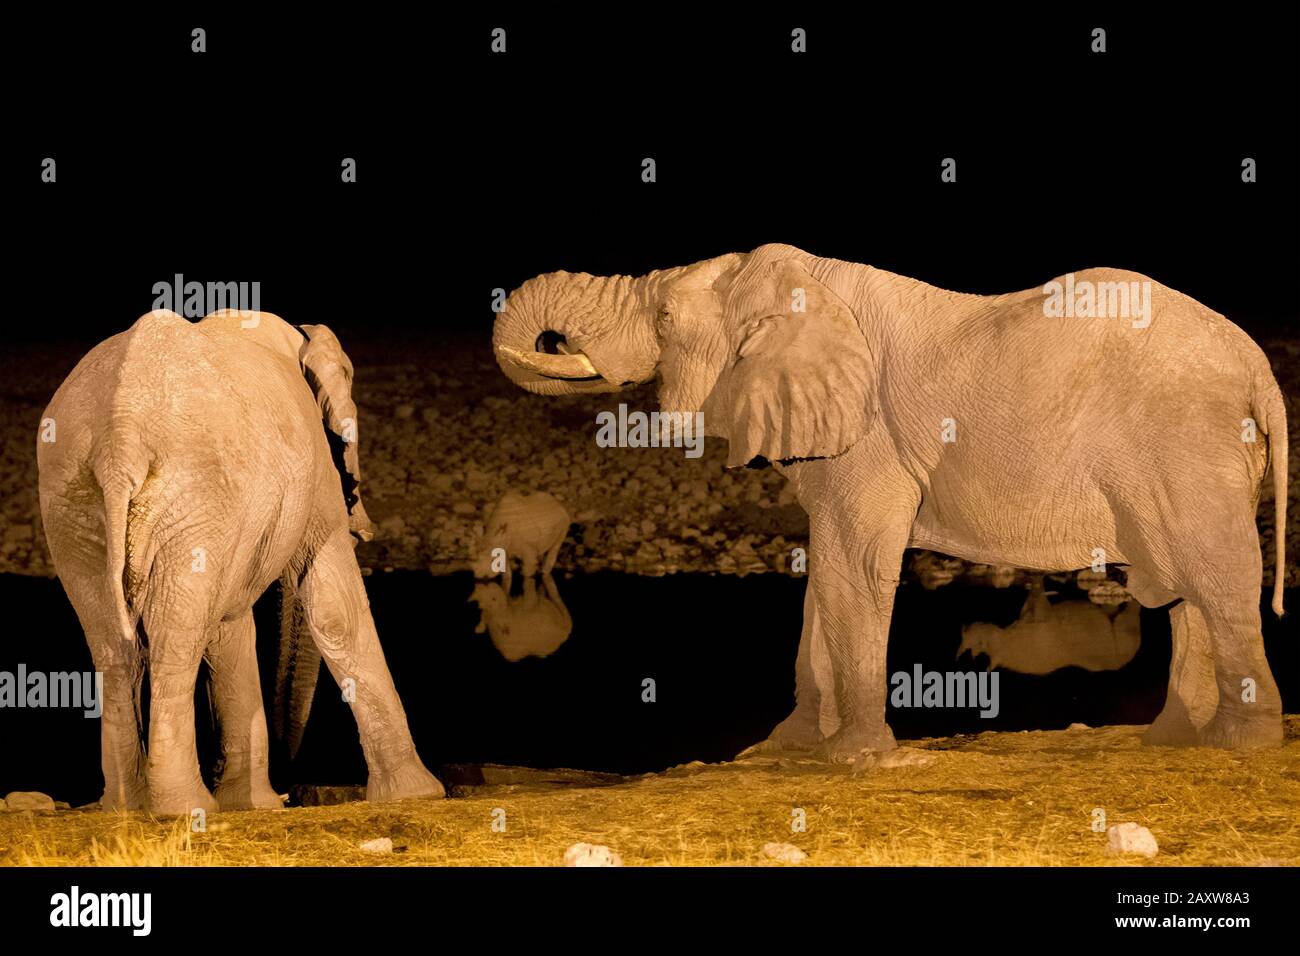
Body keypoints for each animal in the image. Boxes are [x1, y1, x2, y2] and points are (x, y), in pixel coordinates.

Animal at [37, 308, 444, 814]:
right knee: (174, 636)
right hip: (188, 492)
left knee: (115, 645)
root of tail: (120, 437)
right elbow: (334, 605)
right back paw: (184, 808)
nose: (295, 786)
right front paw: (420, 794)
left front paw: (253, 804)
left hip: (73, 498)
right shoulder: (311, 470)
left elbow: (227, 623)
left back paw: (128, 807)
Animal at [958, 578, 1142, 675]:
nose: (968, 627)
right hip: (1112, 651)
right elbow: (1035, 595)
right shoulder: (1037, 616)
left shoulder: (1038, 615)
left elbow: (1035, 594)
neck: (1004, 644)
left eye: (980, 643)